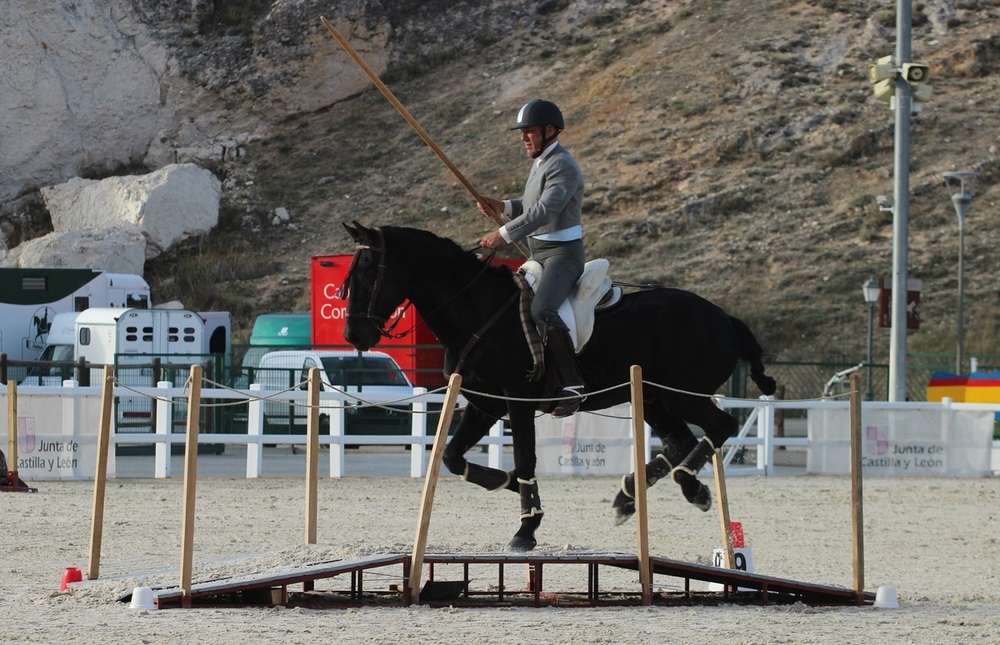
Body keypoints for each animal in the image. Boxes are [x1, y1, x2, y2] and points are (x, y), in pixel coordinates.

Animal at [340, 221, 776, 548]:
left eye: (367, 268)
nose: (353, 334)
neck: (479, 309)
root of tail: (724, 318)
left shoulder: (515, 401)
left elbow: (525, 459)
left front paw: (527, 527)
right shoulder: (485, 404)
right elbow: (452, 457)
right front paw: (508, 485)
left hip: (681, 396)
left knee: (720, 426)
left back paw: (689, 486)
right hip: (653, 399)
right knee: (681, 441)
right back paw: (628, 497)